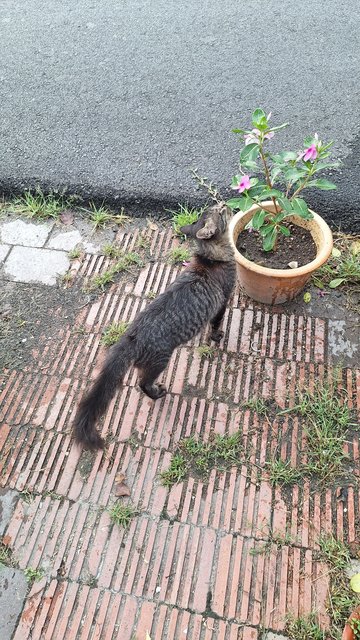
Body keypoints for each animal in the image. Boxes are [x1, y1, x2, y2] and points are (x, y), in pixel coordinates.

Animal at [72, 204, 236, 450]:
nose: (225, 204)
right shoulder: (223, 302)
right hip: (159, 362)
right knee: (142, 384)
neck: (212, 258)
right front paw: (217, 336)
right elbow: (216, 324)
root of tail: (132, 336)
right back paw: (158, 393)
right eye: (220, 211)